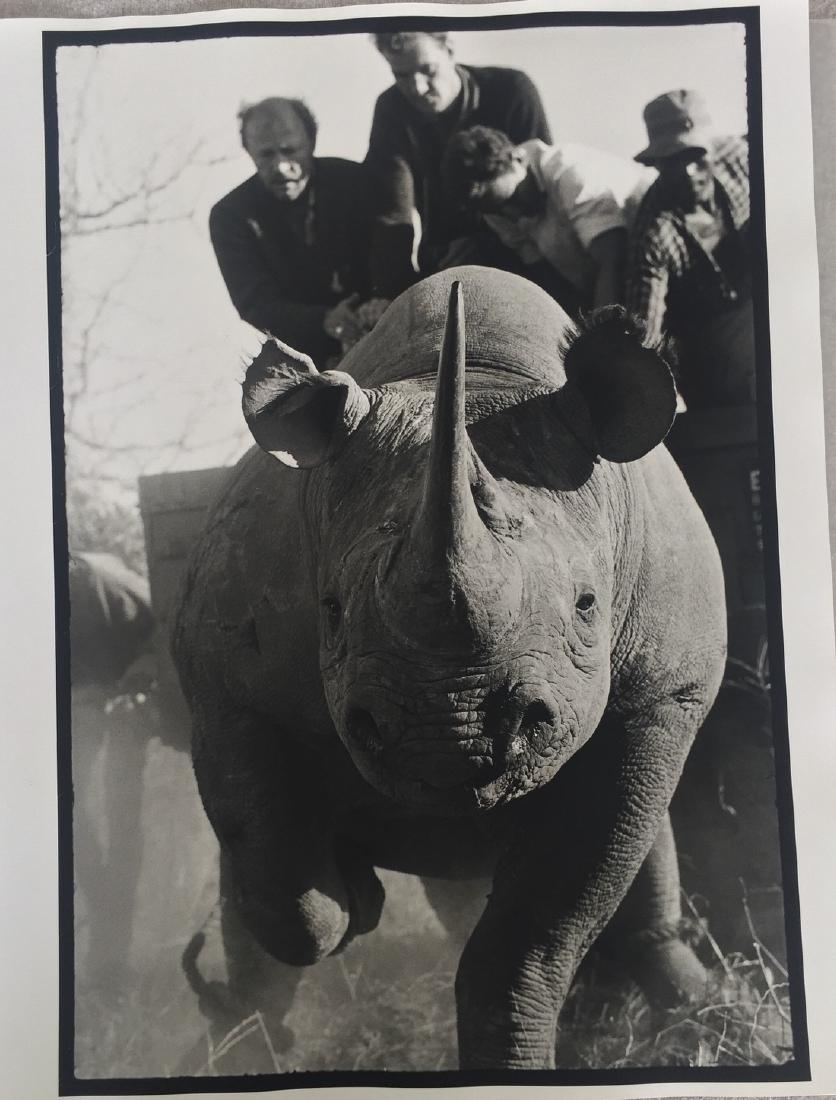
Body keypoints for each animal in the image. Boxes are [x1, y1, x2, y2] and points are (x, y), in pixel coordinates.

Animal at [172, 266, 727, 1070]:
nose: (447, 737)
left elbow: (534, 939)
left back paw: (695, 1002)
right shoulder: (223, 679)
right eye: (330, 612)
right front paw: (355, 899)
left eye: (587, 606)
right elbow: (273, 870)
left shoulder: (660, 698)